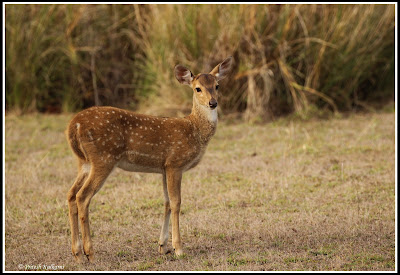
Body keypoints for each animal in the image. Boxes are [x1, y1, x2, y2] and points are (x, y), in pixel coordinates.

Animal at [66, 56, 234, 264]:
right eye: (198, 89)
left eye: (217, 86)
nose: (213, 103)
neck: (194, 129)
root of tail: (74, 125)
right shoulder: (175, 163)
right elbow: (176, 202)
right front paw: (179, 248)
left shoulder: (163, 167)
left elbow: (166, 202)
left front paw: (163, 246)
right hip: (103, 158)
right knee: (83, 196)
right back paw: (90, 253)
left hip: (84, 162)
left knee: (71, 195)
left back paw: (77, 253)